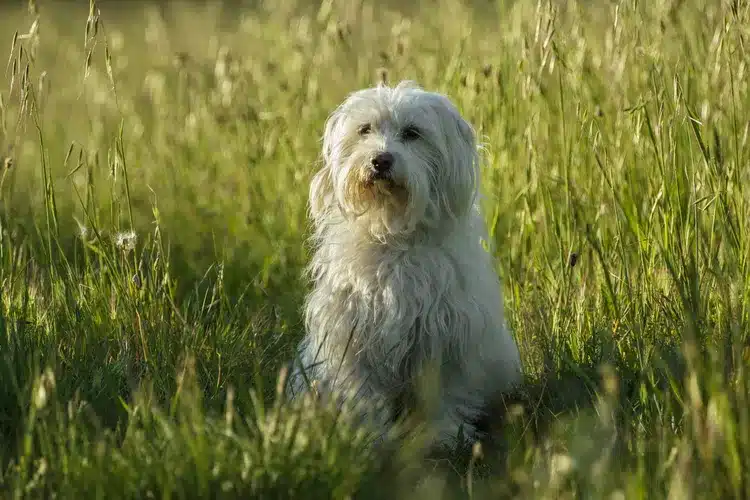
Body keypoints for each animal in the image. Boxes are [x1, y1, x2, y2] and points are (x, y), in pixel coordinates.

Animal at [286, 81, 524, 450]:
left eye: (412, 133)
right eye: (365, 129)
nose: (381, 160)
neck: (394, 236)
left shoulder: (446, 335)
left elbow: (444, 392)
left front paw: (446, 432)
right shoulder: (352, 336)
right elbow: (362, 394)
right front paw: (370, 435)